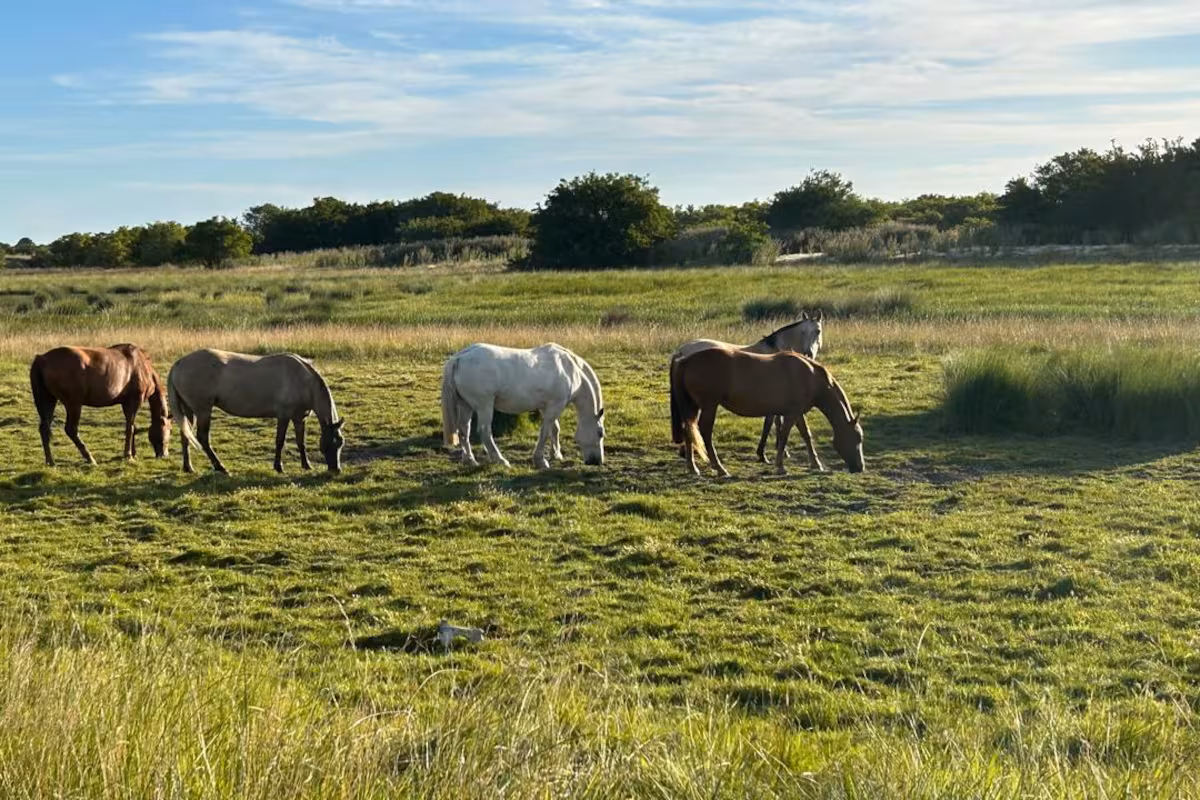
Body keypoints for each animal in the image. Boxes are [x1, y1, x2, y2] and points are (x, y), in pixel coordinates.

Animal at [29, 344, 170, 467]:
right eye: (169, 430)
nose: (164, 455)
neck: (142, 366)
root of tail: (41, 359)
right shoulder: (134, 402)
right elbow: (130, 428)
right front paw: (128, 455)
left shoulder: (125, 403)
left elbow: (132, 426)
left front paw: (133, 453)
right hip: (73, 404)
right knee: (71, 430)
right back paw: (90, 458)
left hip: (48, 400)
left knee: (44, 428)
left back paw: (50, 461)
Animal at [167, 349, 344, 475]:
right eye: (328, 444)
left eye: (340, 442)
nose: (336, 469)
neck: (303, 379)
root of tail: (178, 363)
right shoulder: (284, 416)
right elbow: (280, 441)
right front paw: (279, 467)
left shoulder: (299, 418)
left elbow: (301, 442)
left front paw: (306, 465)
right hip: (203, 410)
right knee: (202, 438)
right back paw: (220, 467)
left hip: (189, 410)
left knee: (185, 435)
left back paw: (188, 467)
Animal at [441, 343, 605, 469]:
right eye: (600, 433)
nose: (597, 461)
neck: (569, 369)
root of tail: (459, 358)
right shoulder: (555, 405)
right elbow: (545, 431)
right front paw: (540, 460)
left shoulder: (546, 406)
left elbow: (554, 429)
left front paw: (556, 454)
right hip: (484, 406)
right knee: (485, 432)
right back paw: (501, 460)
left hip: (466, 406)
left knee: (464, 431)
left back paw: (470, 460)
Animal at [670, 311, 823, 462]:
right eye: (803, 332)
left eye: (818, 331)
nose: (808, 353)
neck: (776, 351)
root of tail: (682, 352)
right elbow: (771, 423)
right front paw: (766, 453)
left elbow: (775, 422)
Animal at [670, 344, 863, 477]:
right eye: (857, 438)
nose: (860, 467)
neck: (810, 376)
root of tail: (686, 360)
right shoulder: (791, 414)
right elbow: (784, 436)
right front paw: (780, 466)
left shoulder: (797, 413)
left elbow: (806, 435)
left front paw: (816, 464)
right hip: (709, 406)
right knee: (705, 432)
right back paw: (719, 468)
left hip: (693, 407)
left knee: (688, 430)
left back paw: (692, 468)